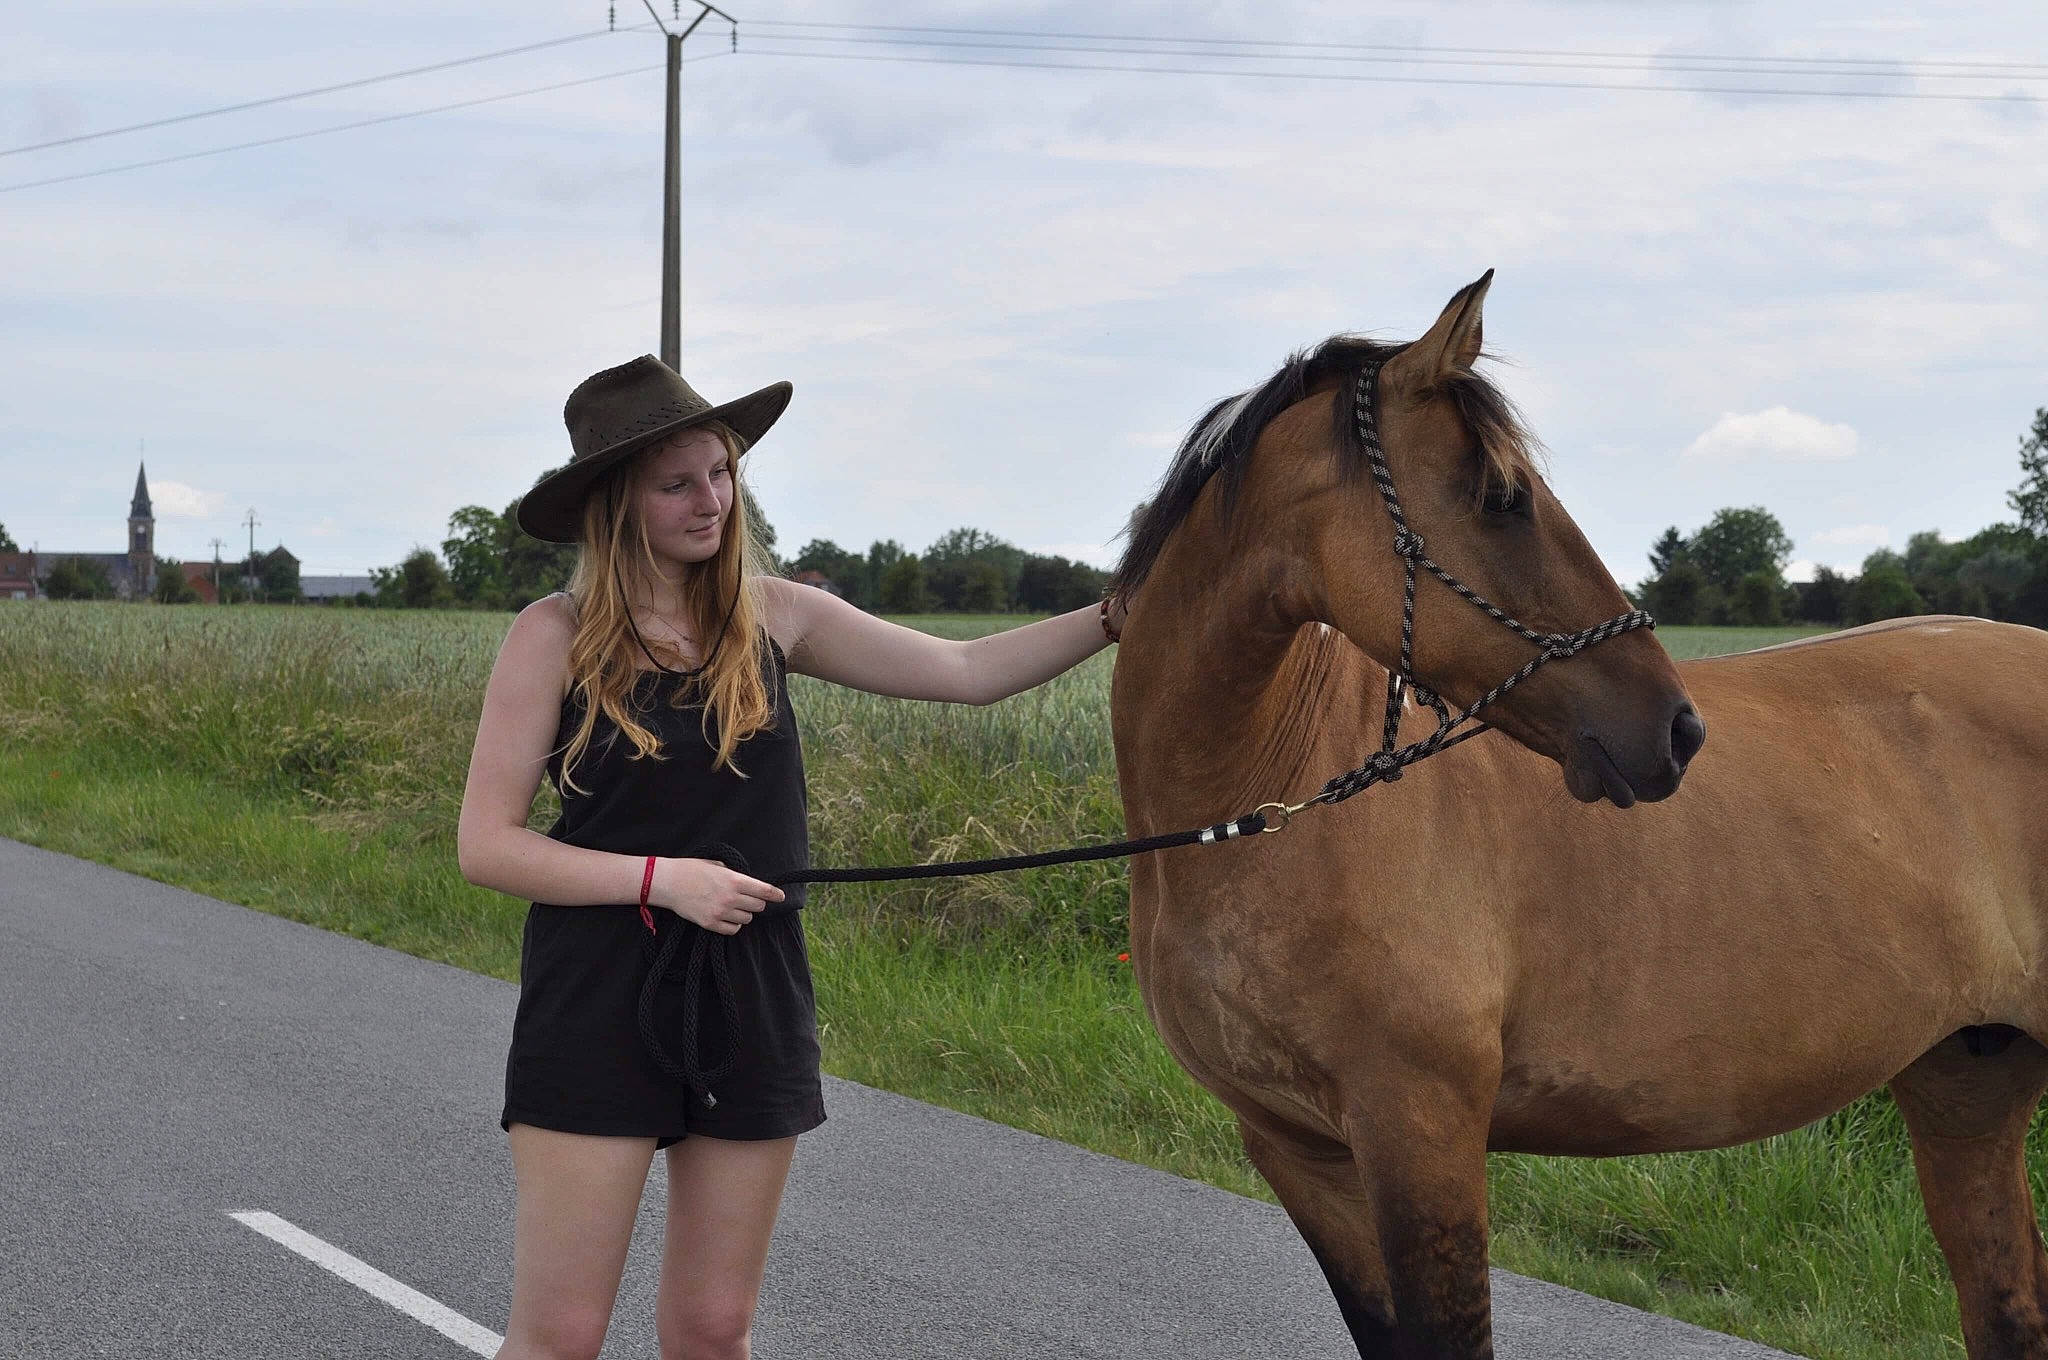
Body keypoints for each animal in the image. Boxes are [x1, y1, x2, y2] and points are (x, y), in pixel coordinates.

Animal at [1105, 271, 2048, 1359]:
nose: (1675, 728)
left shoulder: (1421, 1133)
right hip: (1966, 1086)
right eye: (1502, 498)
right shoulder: (1302, 1153)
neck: (1268, 795)